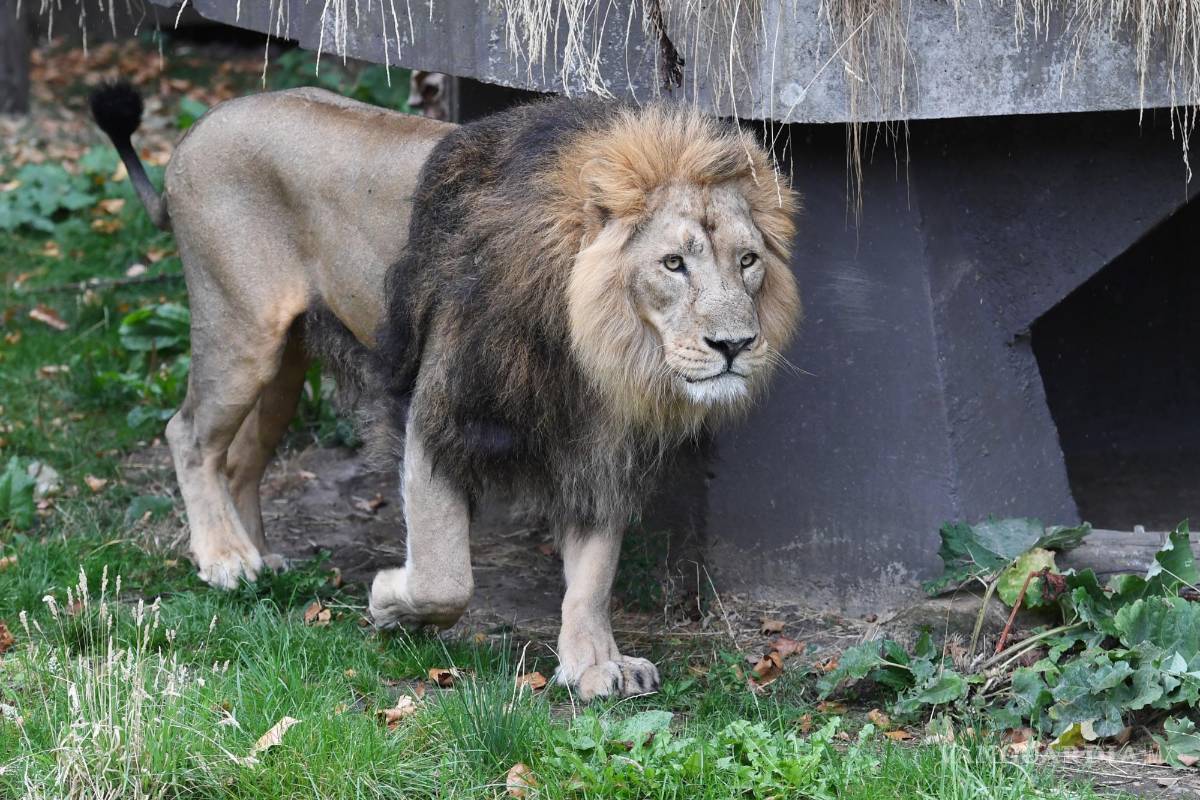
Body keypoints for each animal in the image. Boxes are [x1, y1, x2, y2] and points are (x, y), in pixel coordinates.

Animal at [90, 83, 800, 700]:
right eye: (672, 264)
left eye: (748, 261)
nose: (735, 345)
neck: (592, 344)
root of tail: (196, 130)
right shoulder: (440, 414)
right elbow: (445, 578)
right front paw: (389, 602)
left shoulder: (597, 445)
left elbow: (594, 574)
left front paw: (596, 664)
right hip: (241, 332)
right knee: (187, 434)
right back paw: (225, 558)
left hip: (284, 363)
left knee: (238, 458)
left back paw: (259, 557)